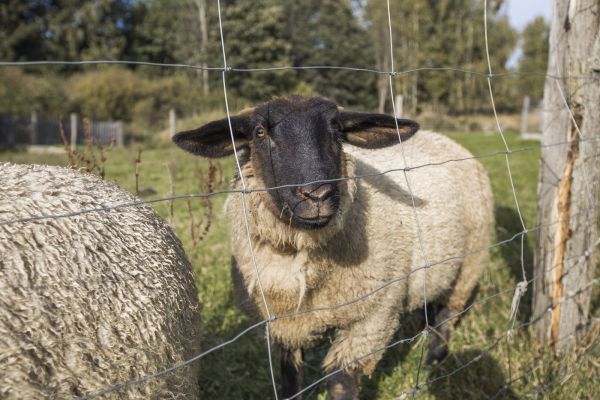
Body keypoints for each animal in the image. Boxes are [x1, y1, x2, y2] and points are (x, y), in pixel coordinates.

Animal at [173, 95, 492, 398]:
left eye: (337, 131)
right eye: (260, 132)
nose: (317, 195)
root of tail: (444, 138)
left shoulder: (371, 318)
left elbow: (341, 383)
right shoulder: (284, 323)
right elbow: (290, 378)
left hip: (471, 262)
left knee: (448, 314)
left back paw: (433, 362)